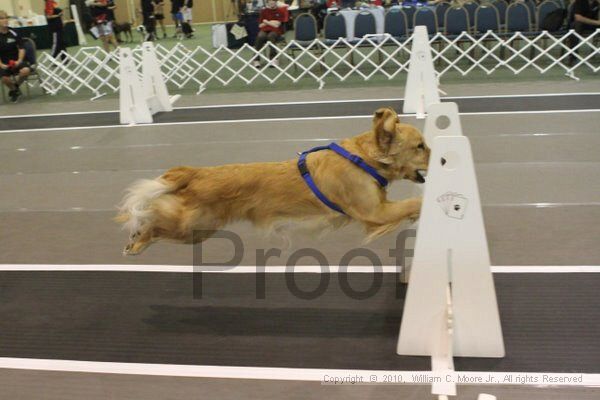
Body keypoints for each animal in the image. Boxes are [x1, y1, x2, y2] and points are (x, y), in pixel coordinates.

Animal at [115, 107, 428, 256]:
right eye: (420, 146)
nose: (437, 156)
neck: (362, 158)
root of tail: (196, 172)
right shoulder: (375, 212)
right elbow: (415, 201)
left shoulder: (379, 208)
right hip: (191, 226)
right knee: (153, 222)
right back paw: (136, 242)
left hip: (198, 230)